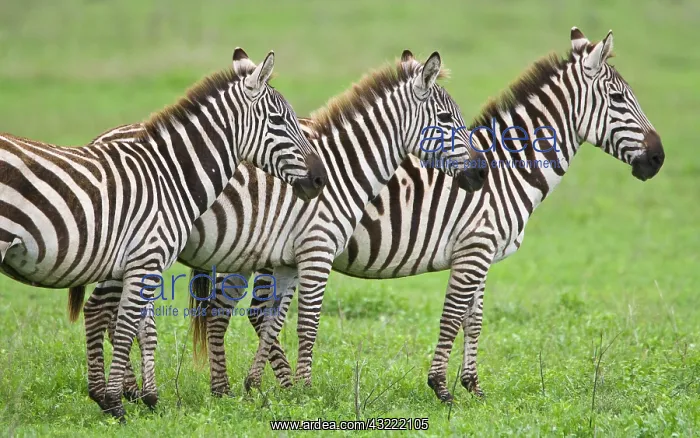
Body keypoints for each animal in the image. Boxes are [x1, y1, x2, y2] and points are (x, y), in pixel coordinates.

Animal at [0, 47, 327, 420]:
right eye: (277, 120)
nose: (319, 179)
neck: (169, 177)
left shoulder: (134, 263)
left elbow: (134, 326)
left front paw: (123, 398)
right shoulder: (146, 259)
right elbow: (127, 328)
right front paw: (116, 404)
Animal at [68, 49, 489, 400]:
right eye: (446, 119)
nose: (482, 174)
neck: (343, 169)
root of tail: (102, 137)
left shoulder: (288, 257)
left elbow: (273, 320)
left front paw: (263, 387)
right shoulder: (317, 250)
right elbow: (307, 324)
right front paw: (304, 391)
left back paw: (133, 390)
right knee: (106, 312)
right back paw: (120, 393)